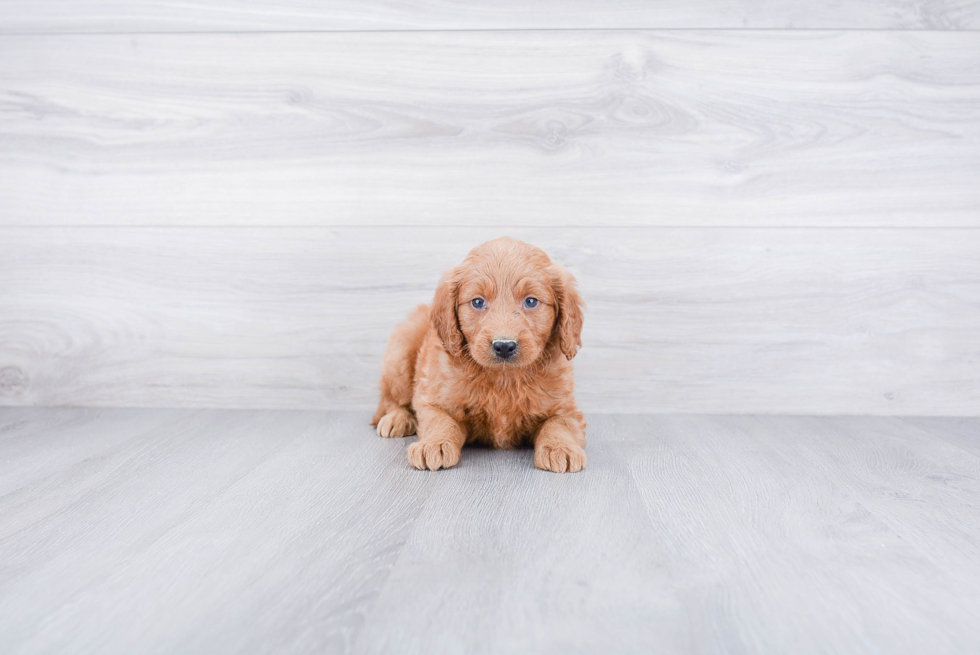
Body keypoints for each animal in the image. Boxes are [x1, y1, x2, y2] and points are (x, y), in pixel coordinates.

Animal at [372, 238, 584, 474]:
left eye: (531, 301)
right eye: (477, 302)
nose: (504, 346)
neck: (504, 378)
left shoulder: (566, 408)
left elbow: (560, 424)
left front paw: (560, 447)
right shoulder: (434, 398)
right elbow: (440, 421)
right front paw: (434, 444)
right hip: (400, 352)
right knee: (390, 400)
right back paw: (397, 419)